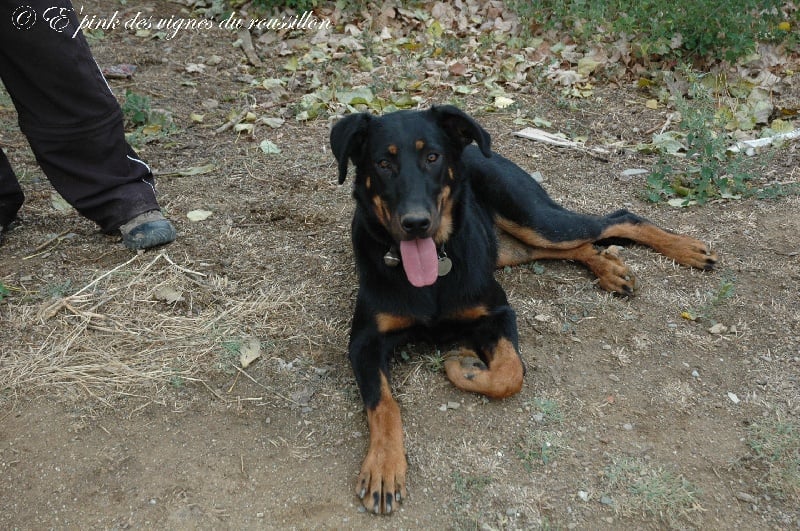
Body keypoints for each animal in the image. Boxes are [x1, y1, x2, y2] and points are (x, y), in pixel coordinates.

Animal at [328, 105, 716, 516]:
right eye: (383, 163)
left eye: (432, 157)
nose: (416, 224)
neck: (432, 273)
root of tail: (477, 150)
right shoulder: (365, 342)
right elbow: (383, 404)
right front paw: (384, 466)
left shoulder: (497, 312)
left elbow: (509, 373)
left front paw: (465, 368)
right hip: (514, 246)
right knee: (579, 245)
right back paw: (610, 267)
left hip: (535, 218)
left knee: (617, 218)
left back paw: (686, 248)